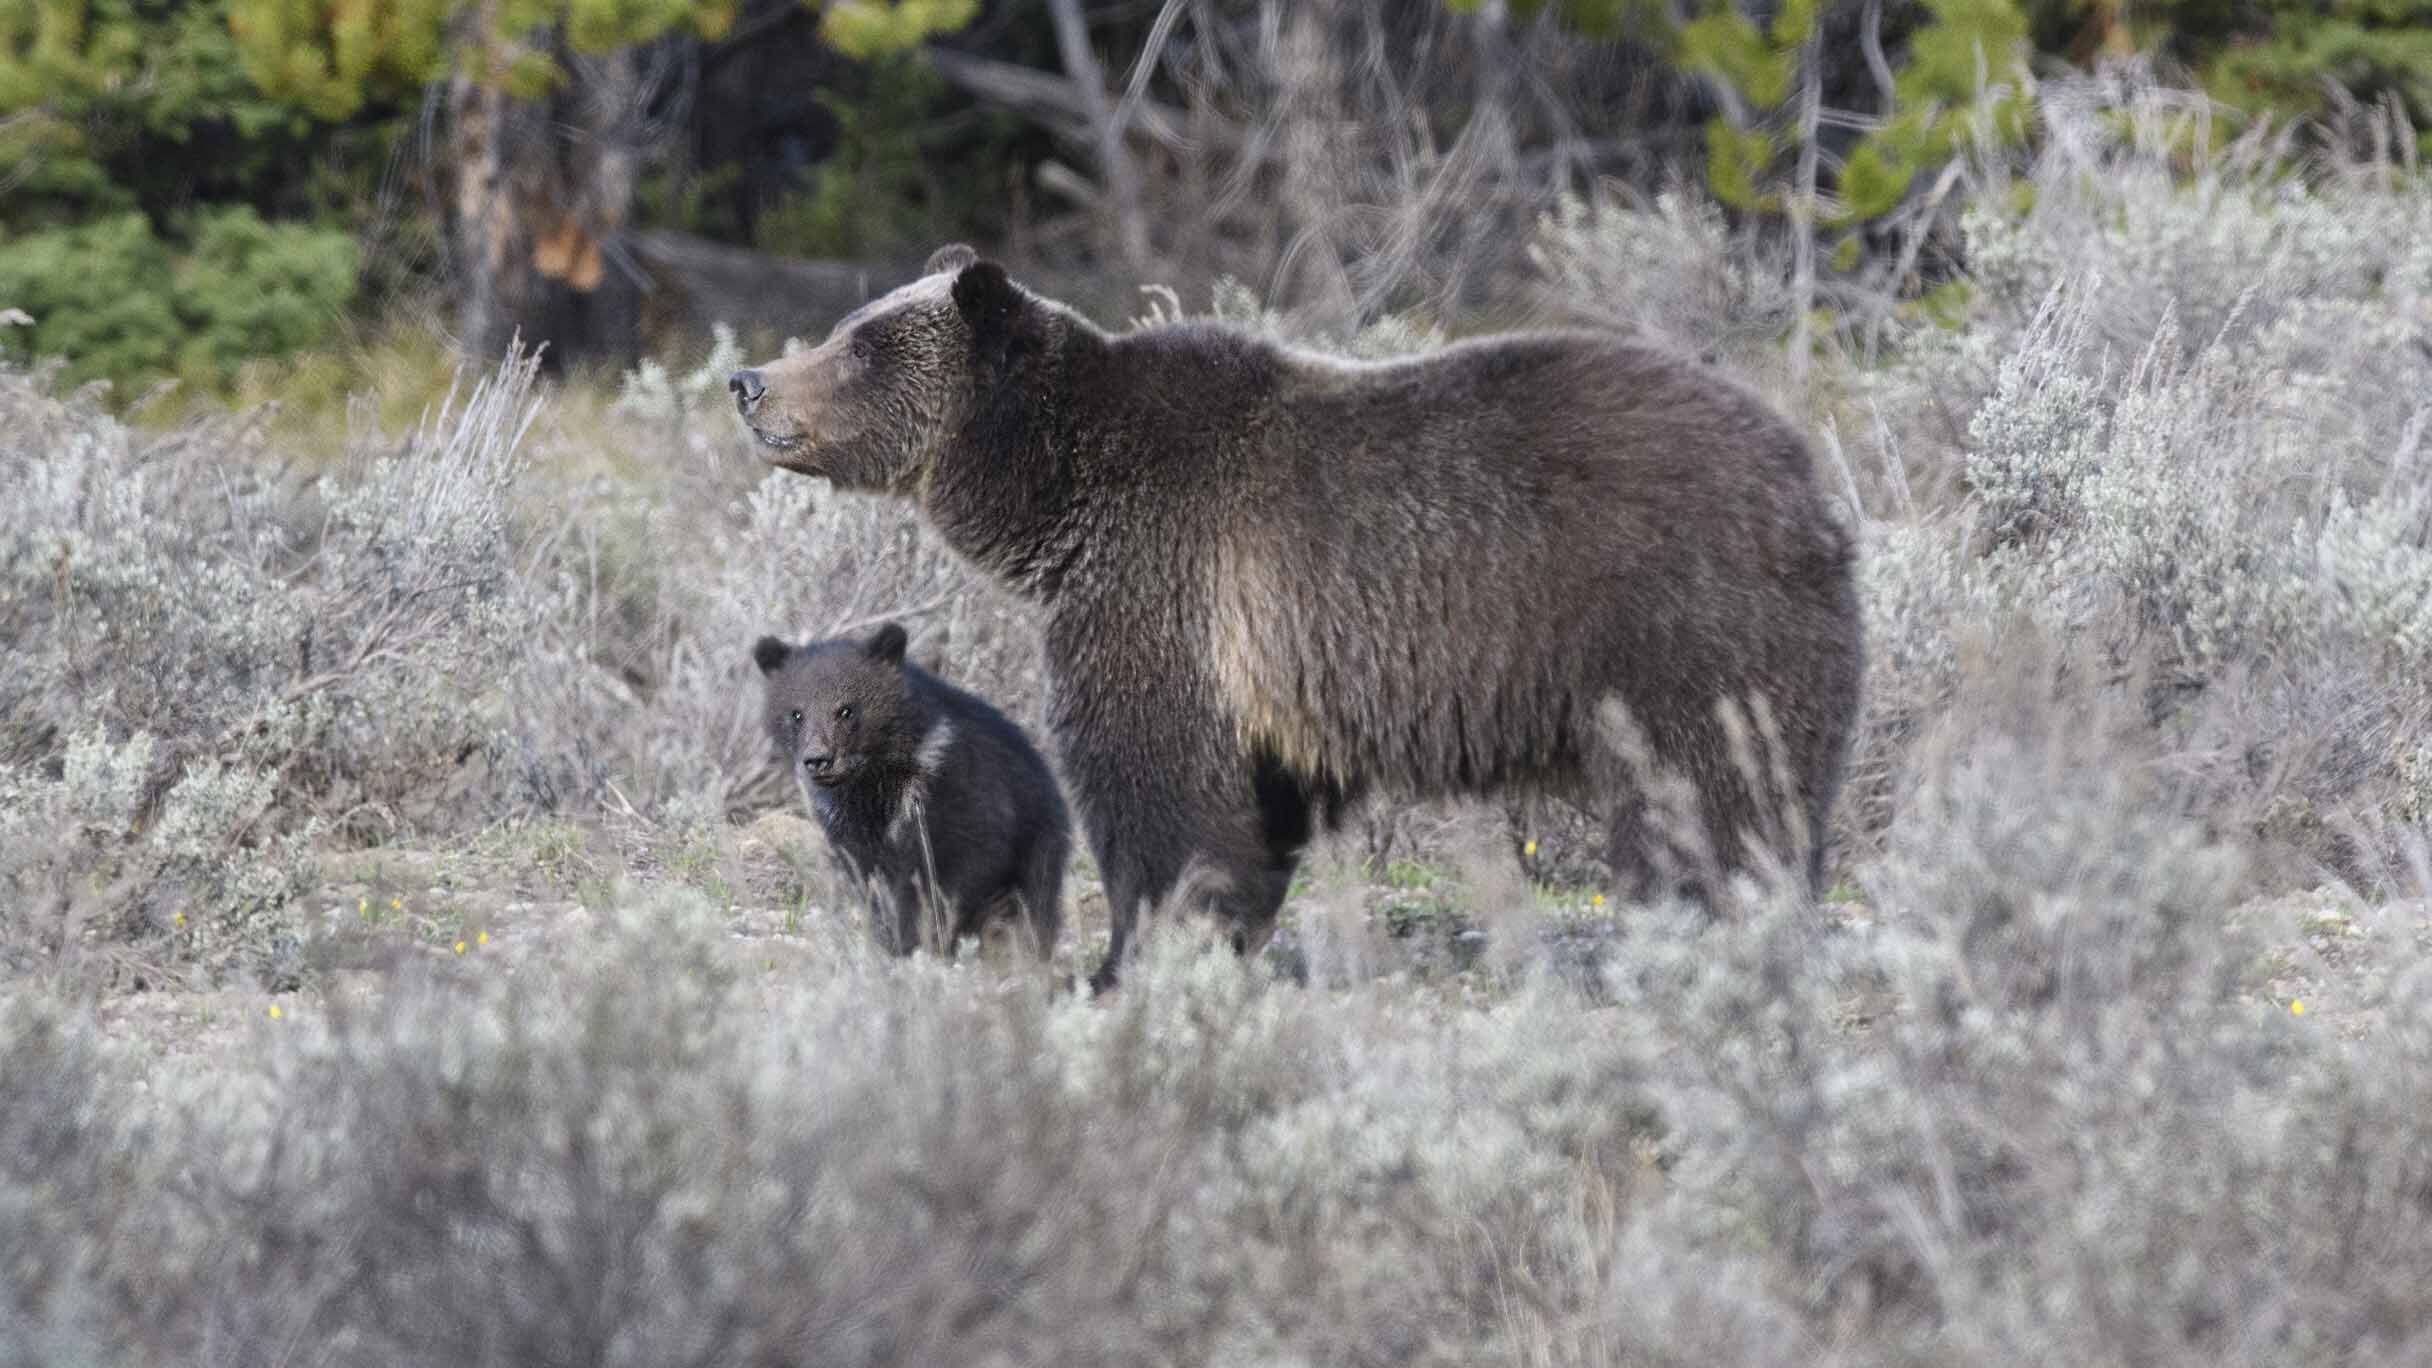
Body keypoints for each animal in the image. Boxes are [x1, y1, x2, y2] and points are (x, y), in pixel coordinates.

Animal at [719, 247, 1858, 988]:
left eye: (861, 346)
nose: (747, 379)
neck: (1057, 495)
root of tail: (1804, 476)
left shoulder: (1162, 584)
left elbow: (1153, 784)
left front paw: (1131, 954)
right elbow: (1248, 808)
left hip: (1681, 621)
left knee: (1705, 796)